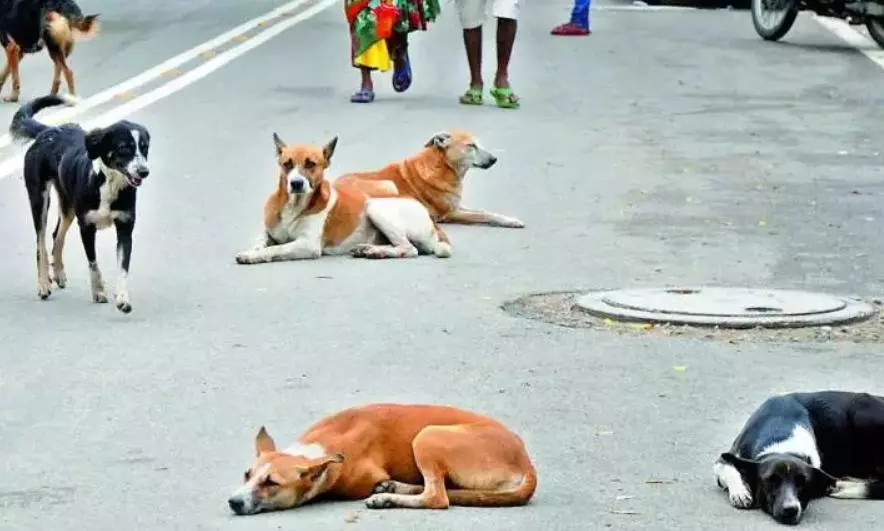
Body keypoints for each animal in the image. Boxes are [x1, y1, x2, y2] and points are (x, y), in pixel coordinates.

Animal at [9, 94, 150, 314]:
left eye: (144, 148)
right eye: (124, 147)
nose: (144, 172)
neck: (107, 182)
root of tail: (48, 131)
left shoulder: (125, 227)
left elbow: (123, 268)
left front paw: (123, 299)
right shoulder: (87, 226)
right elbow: (93, 263)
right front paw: (98, 291)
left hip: (68, 206)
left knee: (56, 235)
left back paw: (58, 273)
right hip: (40, 200)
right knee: (40, 242)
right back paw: (43, 284)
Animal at [226, 404, 540, 516]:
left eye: (272, 483)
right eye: (247, 474)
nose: (234, 502)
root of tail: (526, 462)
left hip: (427, 436)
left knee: (437, 497)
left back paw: (389, 498)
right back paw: (393, 489)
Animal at [233, 134, 448, 264]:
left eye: (310, 164)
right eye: (287, 164)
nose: (296, 183)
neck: (294, 206)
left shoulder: (308, 245)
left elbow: (277, 248)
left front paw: (254, 256)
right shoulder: (269, 231)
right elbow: (260, 241)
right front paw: (252, 250)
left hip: (375, 206)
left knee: (409, 248)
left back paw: (376, 252)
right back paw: (370, 249)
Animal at [334, 130, 524, 230]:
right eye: (471, 146)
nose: (494, 159)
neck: (444, 167)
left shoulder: (457, 205)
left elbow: (485, 211)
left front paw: (510, 219)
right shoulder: (452, 213)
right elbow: (485, 215)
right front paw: (510, 222)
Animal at [716, 392, 884, 524]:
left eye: (802, 482)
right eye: (772, 480)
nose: (791, 509)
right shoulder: (724, 459)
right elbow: (729, 467)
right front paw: (740, 491)